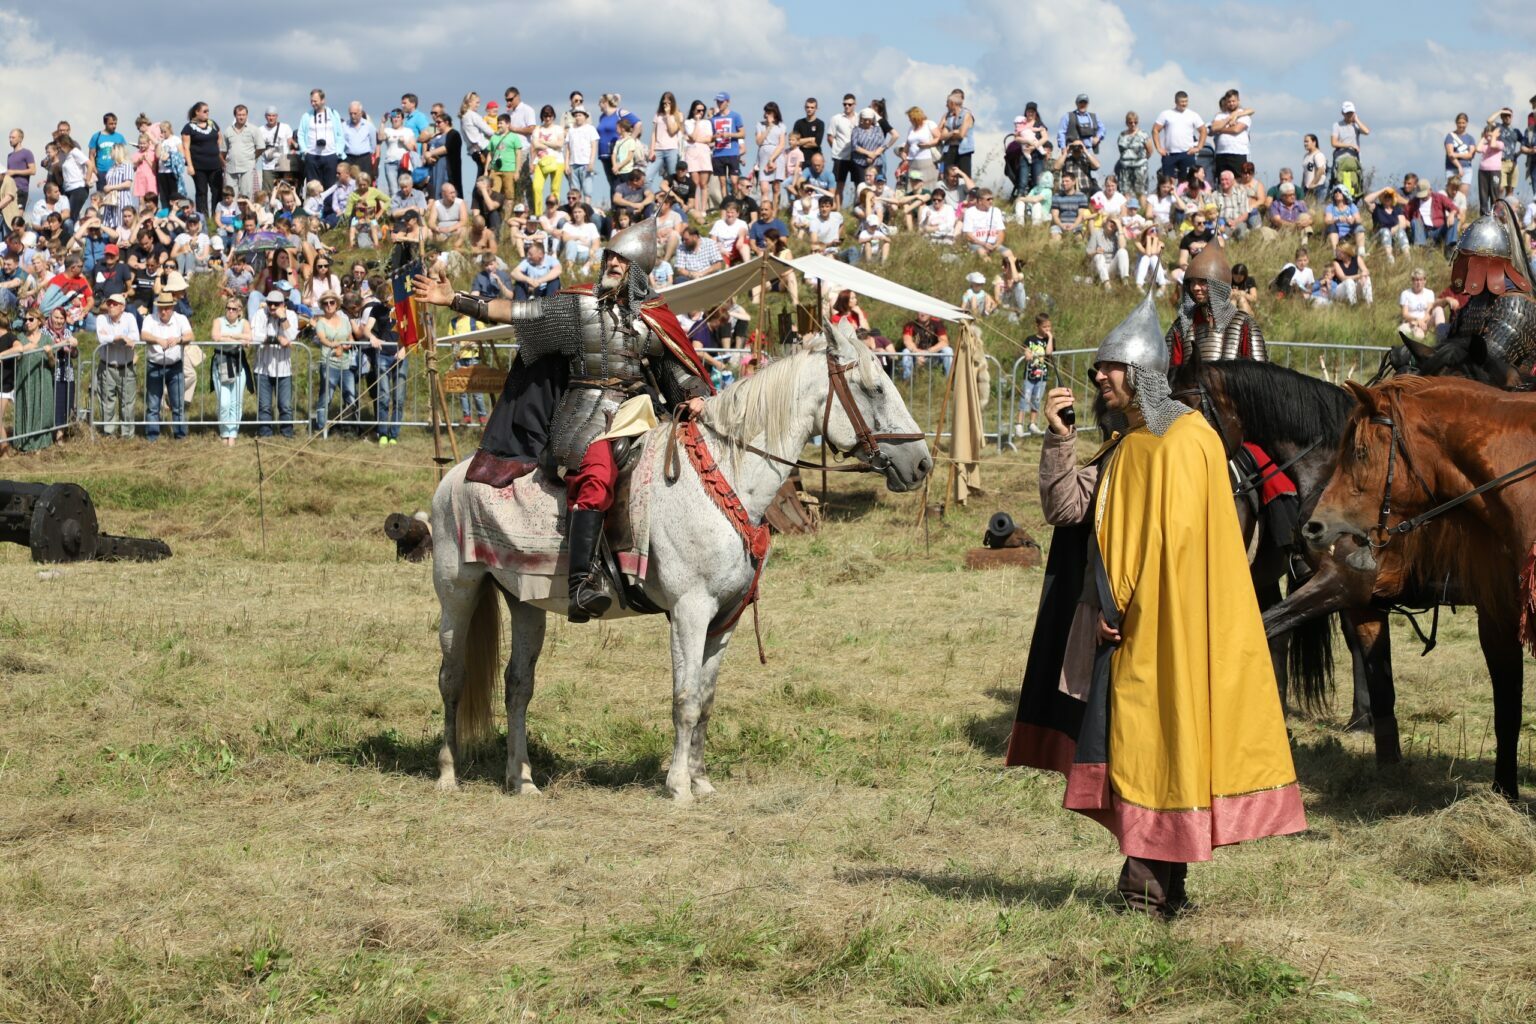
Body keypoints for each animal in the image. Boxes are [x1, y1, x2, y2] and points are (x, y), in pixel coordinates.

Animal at [433, 323, 933, 804]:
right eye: (874, 388)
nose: (922, 464)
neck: (725, 475)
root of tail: (456, 475)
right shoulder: (690, 611)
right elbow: (686, 698)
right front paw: (678, 786)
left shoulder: (726, 616)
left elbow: (707, 699)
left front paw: (701, 780)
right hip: (457, 592)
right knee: (452, 678)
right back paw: (448, 774)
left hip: (524, 601)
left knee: (518, 685)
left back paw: (521, 779)